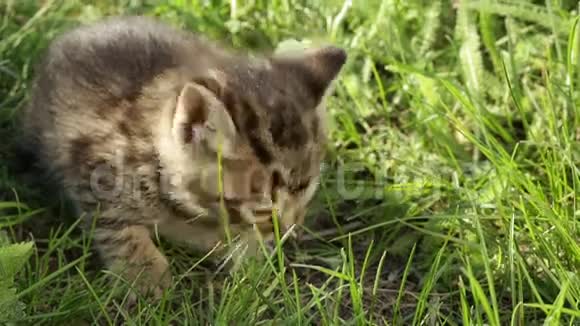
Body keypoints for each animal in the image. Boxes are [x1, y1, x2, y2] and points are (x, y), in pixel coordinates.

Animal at [21, 16, 348, 298]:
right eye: (264, 209)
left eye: (307, 195)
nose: (290, 231)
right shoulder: (93, 167)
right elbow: (117, 226)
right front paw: (145, 275)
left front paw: (250, 257)